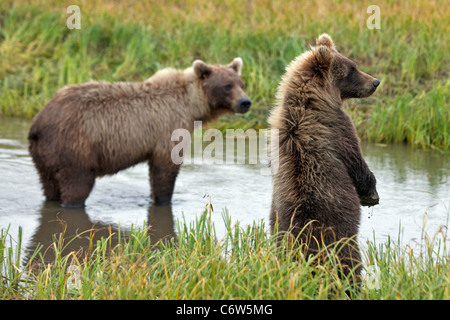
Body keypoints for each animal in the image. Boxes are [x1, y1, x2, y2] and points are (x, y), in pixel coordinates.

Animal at [28, 57, 251, 208]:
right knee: (77, 184)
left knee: (49, 184)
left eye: (241, 83)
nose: (245, 102)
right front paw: (164, 200)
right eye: (227, 86)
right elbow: (164, 170)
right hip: (75, 147)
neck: (190, 105)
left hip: (44, 155)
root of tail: (38, 123)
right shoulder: (169, 128)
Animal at [268, 33, 382, 276]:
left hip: (282, 237)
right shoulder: (339, 128)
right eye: (352, 69)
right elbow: (356, 162)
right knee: (349, 262)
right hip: (340, 238)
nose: (375, 82)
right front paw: (371, 195)